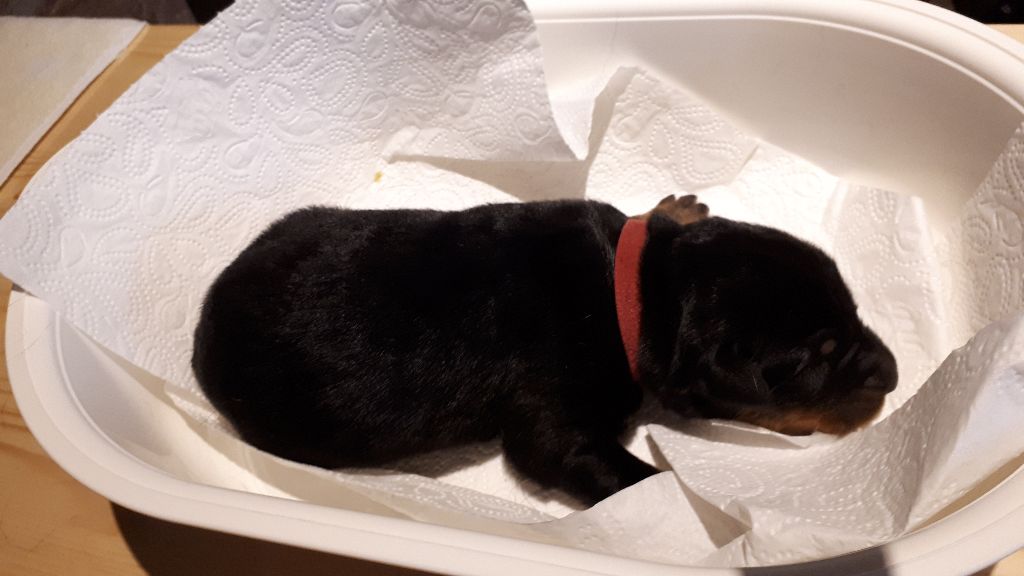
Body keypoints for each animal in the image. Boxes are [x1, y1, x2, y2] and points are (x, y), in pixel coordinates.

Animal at [191, 195, 898, 505]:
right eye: (813, 359)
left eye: (852, 311)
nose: (891, 375)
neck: (637, 291)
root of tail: (202, 324)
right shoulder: (554, 417)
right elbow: (602, 468)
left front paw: (676, 207)